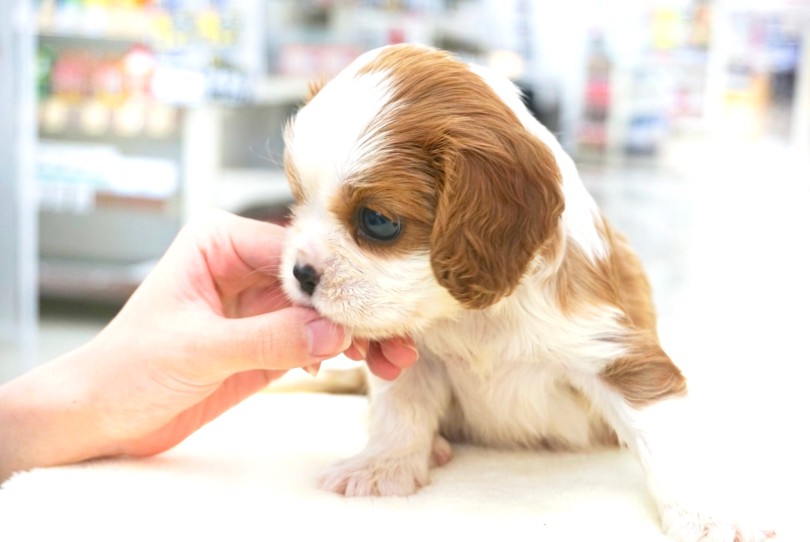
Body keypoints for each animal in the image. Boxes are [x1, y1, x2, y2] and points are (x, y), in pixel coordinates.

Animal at [280, 43, 768, 542]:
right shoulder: (416, 360)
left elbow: (665, 436)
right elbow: (401, 408)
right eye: (296, 202)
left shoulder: (616, 350)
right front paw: (383, 465)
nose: (302, 273)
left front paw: (706, 514)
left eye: (378, 221)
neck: (474, 313)